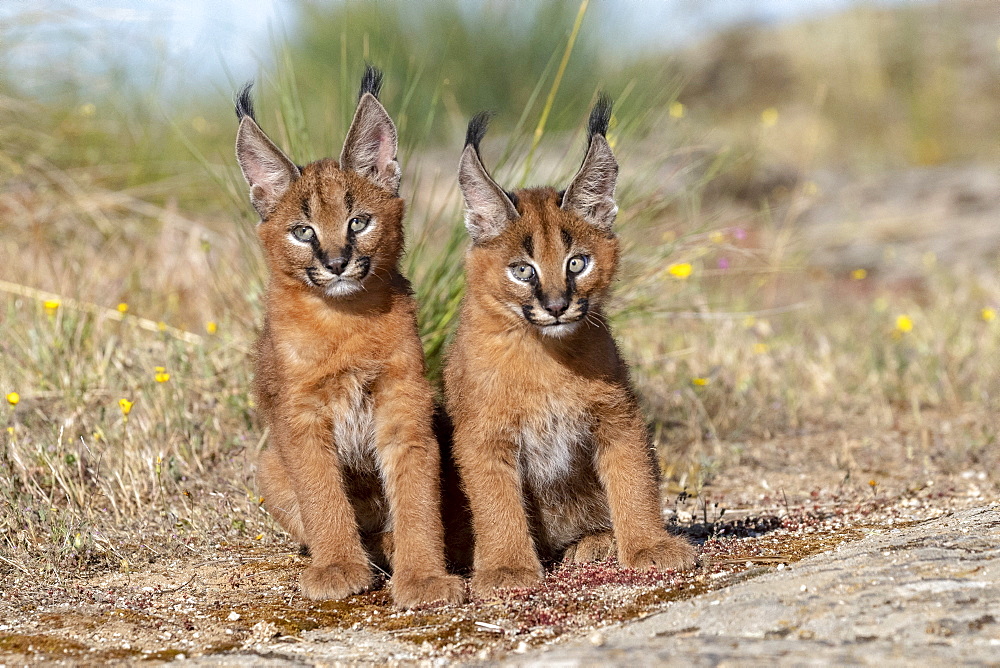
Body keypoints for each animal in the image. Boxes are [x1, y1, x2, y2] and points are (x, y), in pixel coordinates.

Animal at [235, 69, 464, 612]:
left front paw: (423, 576)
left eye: (358, 221)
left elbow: (416, 494)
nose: (337, 262)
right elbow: (322, 493)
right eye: (302, 232)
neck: (347, 321)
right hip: (267, 465)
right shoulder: (301, 416)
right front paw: (339, 566)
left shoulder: (404, 403)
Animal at [446, 95, 696, 596]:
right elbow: (496, 501)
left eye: (577, 263)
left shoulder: (617, 413)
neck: (548, 356)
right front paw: (506, 569)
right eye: (523, 270)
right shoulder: (484, 434)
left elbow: (634, 479)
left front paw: (648, 545)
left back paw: (594, 541)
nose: (558, 305)